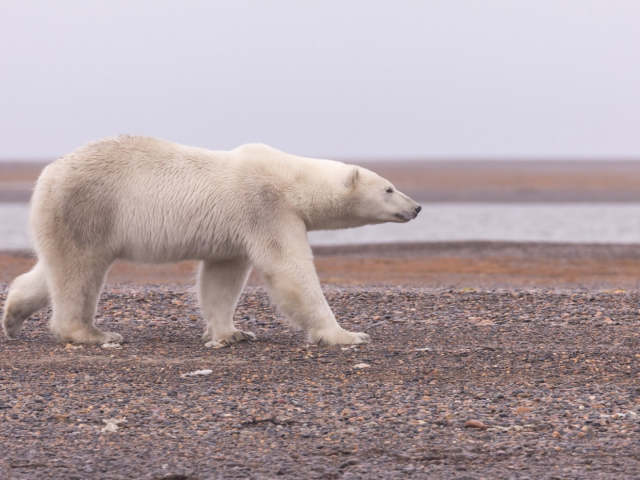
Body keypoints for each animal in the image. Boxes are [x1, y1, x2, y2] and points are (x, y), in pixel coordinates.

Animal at [2, 135, 422, 344]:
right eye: (389, 188)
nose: (416, 207)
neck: (289, 178)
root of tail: (47, 174)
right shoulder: (266, 208)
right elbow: (290, 270)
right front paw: (346, 334)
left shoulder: (235, 231)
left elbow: (221, 279)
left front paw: (233, 334)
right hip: (89, 208)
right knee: (79, 270)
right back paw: (92, 333)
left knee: (54, 268)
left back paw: (13, 315)